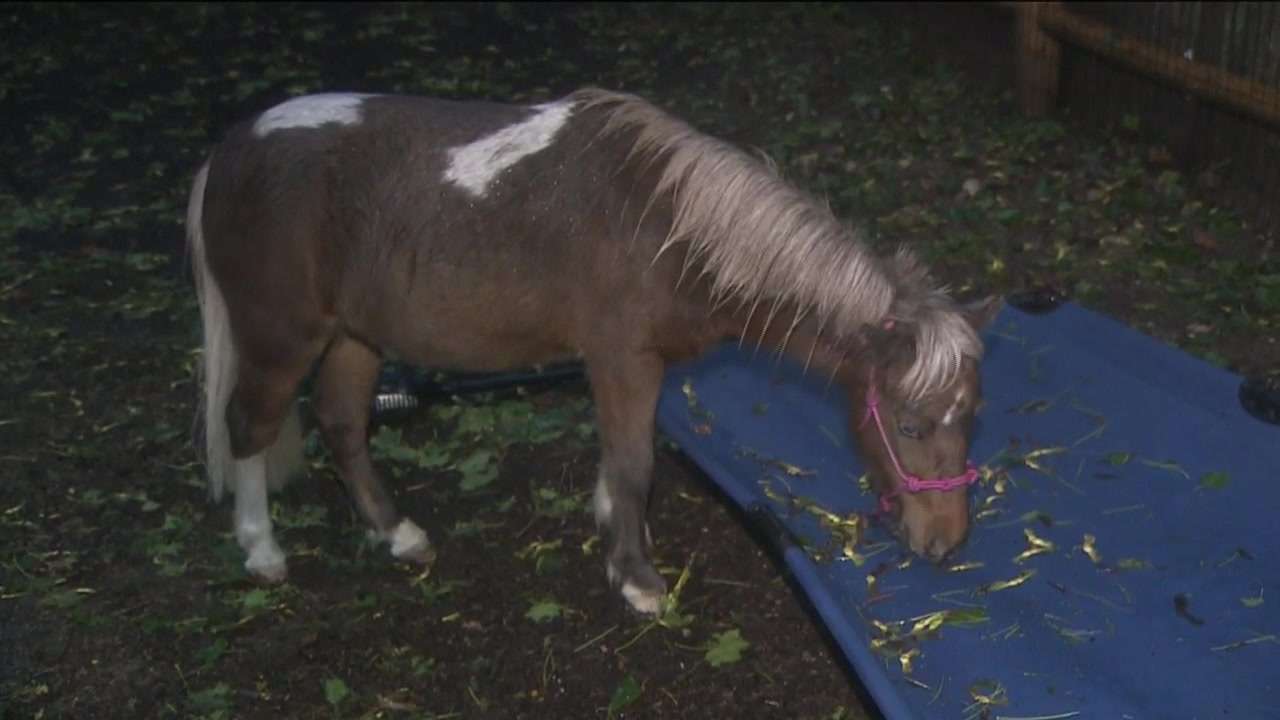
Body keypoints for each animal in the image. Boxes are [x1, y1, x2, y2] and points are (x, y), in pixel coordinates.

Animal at [186, 87, 1001, 615]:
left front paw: (617, 534)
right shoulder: (622, 361)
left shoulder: (637, 367)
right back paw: (262, 550)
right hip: (281, 337)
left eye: (972, 418)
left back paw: (400, 535)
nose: (945, 542)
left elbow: (621, 464)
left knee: (342, 422)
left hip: (356, 335)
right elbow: (635, 464)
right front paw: (637, 577)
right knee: (249, 427)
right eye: (911, 425)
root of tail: (228, 152)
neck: (672, 229)